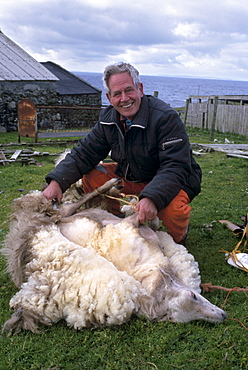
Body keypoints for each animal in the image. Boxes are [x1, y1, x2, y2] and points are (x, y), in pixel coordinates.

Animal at [1, 178, 227, 334]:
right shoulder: (130, 226)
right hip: (64, 213)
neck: (148, 268)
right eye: (192, 296)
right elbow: (142, 215)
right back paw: (111, 184)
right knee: (79, 200)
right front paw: (134, 204)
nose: (223, 316)